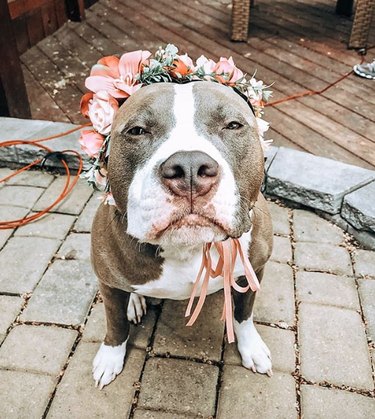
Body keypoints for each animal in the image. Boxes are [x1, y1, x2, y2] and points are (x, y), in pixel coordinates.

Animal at [91, 81, 274, 390]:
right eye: (137, 130)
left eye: (233, 125)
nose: (189, 168)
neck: (189, 246)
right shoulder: (107, 282)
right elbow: (115, 323)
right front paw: (110, 358)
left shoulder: (255, 269)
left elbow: (244, 313)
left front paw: (252, 347)